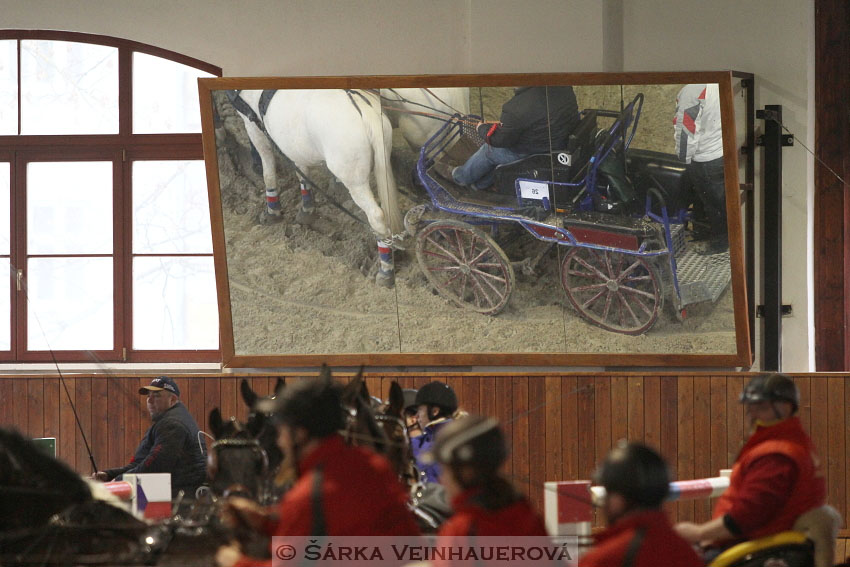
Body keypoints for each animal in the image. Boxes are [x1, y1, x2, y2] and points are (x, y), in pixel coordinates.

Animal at [230, 90, 402, 286]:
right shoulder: (294, 145)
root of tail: (367, 114)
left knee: (376, 216)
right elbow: (302, 173)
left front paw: (272, 211)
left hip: (354, 180)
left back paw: (385, 271)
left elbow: (268, 171)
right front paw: (307, 210)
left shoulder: (253, 125)